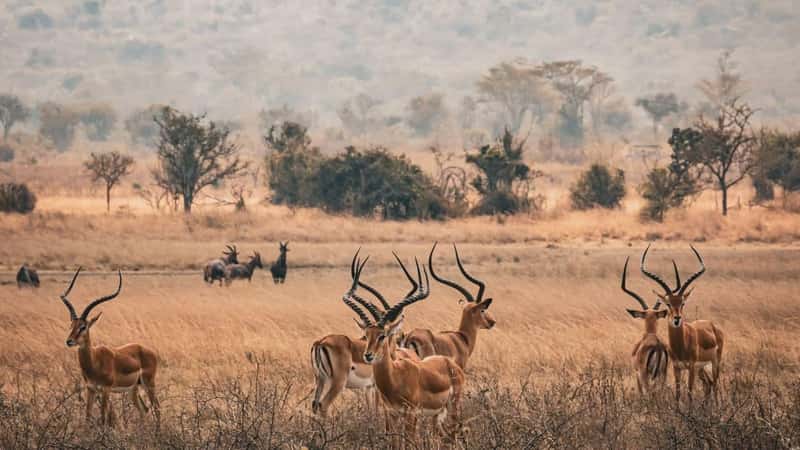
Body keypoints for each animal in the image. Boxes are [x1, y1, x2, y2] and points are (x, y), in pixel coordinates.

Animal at [59, 268, 160, 427]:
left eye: (83, 327)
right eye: (72, 325)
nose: (69, 341)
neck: (95, 361)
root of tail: (147, 350)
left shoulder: (106, 390)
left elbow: (103, 419)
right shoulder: (91, 389)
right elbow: (87, 417)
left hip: (149, 383)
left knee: (157, 409)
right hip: (133, 389)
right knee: (144, 410)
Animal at [310, 250, 419, 416]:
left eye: (380, 335)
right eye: (385, 334)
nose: (368, 356)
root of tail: (320, 342)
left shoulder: (368, 388)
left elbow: (371, 410)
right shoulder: (377, 387)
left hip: (319, 380)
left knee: (314, 405)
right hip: (337, 383)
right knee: (323, 405)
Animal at [354, 255, 465, 442]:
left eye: (383, 335)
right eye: (366, 335)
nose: (368, 356)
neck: (395, 378)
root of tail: (449, 363)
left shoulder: (411, 414)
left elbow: (411, 442)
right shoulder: (392, 414)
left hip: (453, 407)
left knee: (457, 434)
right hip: (437, 414)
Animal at [641, 244, 725, 403]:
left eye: (683, 303)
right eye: (668, 303)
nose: (677, 318)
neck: (681, 344)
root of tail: (713, 326)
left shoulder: (691, 366)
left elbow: (690, 393)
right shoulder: (676, 367)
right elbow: (678, 393)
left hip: (715, 362)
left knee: (716, 385)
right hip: (701, 369)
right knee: (708, 384)